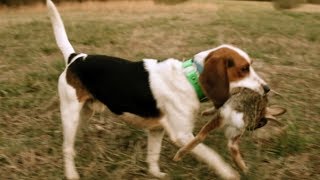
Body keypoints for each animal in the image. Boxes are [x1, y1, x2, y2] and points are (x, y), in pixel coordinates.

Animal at [45, 0, 270, 179]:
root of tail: (75, 58)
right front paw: (229, 172)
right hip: (70, 113)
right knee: (66, 148)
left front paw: (155, 174)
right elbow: (211, 155)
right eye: (244, 69)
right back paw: (71, 174)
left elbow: (153, 155)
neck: (189, 79)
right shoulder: (183, 135)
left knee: (71, 141)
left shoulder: (156, 130)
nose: (267, 88)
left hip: (84, 114)